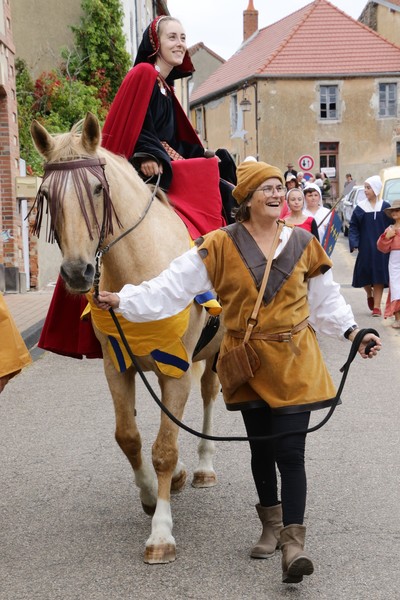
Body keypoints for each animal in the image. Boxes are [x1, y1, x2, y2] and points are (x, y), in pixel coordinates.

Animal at [30, 111, 225, 564]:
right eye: (46, 194)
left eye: (98, 189)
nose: (77, 272)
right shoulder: (117, 367)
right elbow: (130, 437)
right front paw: (152, 496)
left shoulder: (176, 369)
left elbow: (164, 448)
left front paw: (161, 533)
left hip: (214, 350)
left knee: (209, 394)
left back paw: (203, 467)